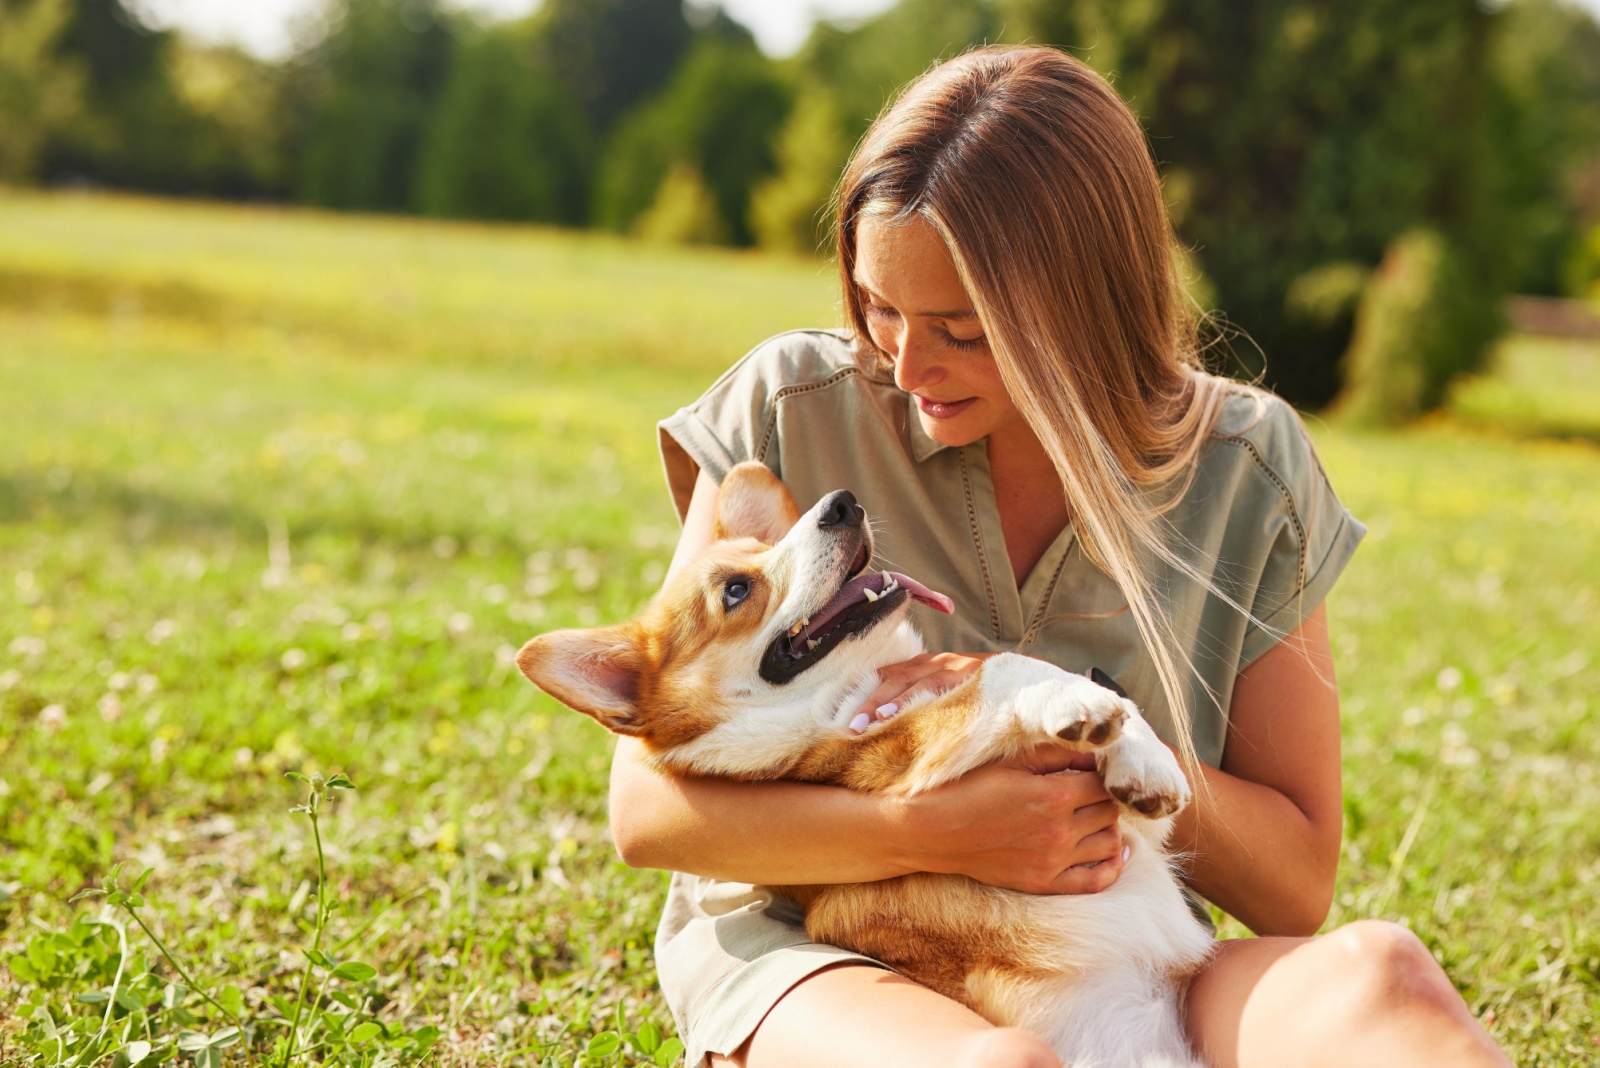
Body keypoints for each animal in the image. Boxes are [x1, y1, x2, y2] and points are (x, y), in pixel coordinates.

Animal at [524, 463, 1209, 1061]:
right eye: (735, 590)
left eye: (767, 548)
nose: (841, 503)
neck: (856, 684)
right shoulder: (888, 757)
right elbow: (1005, 667)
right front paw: (1074, 700)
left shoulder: (1128, 834)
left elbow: (1118, 735)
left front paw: (1145, 760)